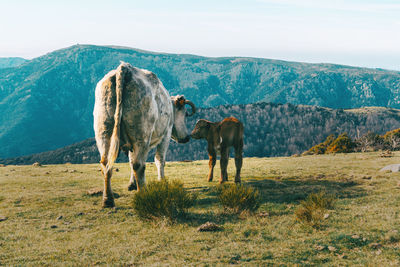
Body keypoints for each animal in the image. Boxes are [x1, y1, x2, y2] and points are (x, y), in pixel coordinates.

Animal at [92, 61, 195, 208]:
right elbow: (159, 159)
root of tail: (124, 68)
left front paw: (132, 184)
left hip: (104, 133)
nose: (187, 137)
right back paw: (143, 194)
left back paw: (108, 200)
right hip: (142, 135)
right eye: (185, 114)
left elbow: (130, 161)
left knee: (106, 164)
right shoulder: (166, 135)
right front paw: (162, 181)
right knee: (138, 164)